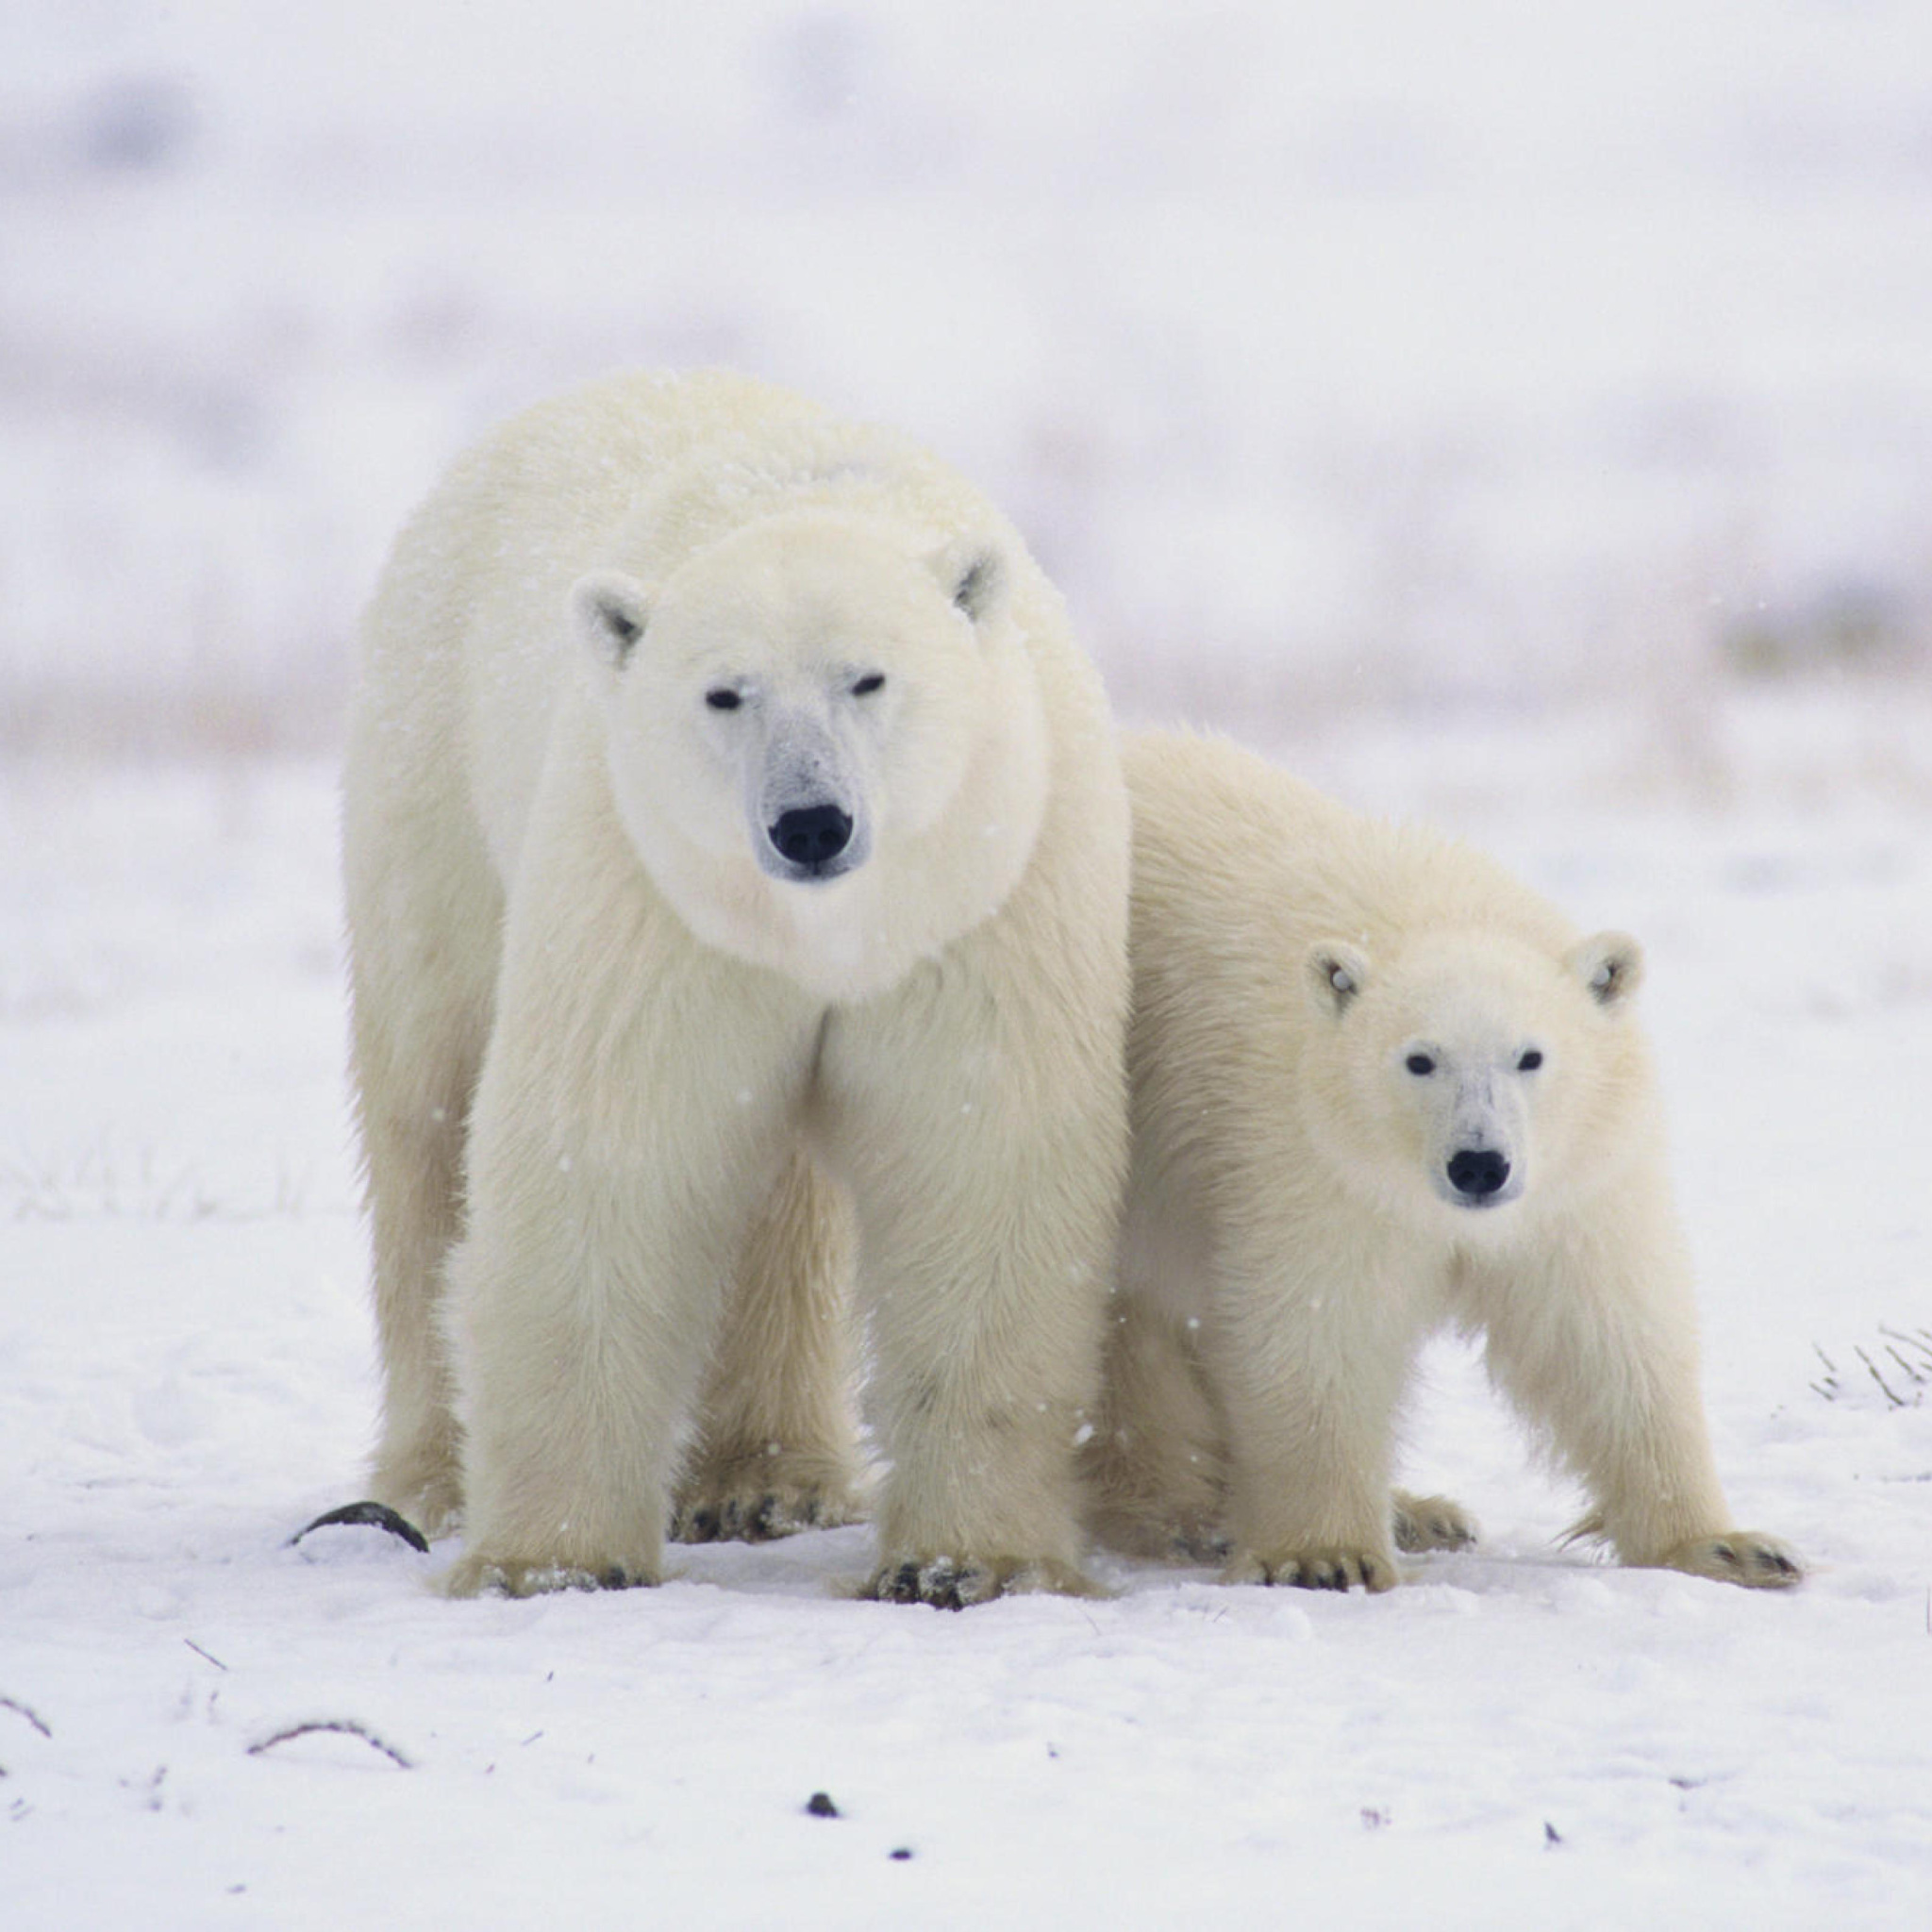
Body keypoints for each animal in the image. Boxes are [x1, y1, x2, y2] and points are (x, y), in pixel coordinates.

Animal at [343, 369, 1128, 1607]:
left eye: (868, 676)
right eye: (724, 694)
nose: (810, 822)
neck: (821, 929)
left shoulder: (983, 886)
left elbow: (979, 1154)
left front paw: (963, 1559)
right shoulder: (652, 890)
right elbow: (610, 1144)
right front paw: (552, 1559)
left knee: (781, 1201)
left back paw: (767, 1480)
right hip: (431, 787)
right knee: (428, 1112)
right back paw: (428, 1478)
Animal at [1097, 730, 1800, 1591]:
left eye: (1531, 1055)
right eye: (1418, 1060)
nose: (1479, 1165)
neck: (1425, 913)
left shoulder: (1576, 1180)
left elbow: (1605, 1332)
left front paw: (1729, 1546)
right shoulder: (1305, 1157)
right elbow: (1318, 1326)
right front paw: (1325, 1554)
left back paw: (1420, 1511)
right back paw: (1180, 1512)